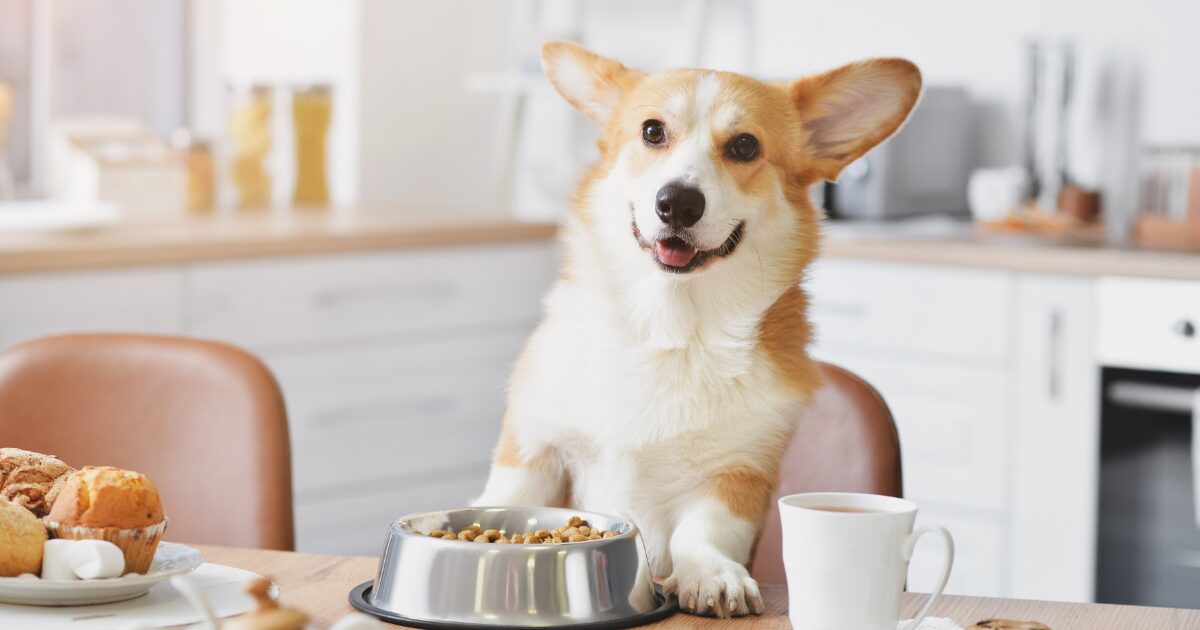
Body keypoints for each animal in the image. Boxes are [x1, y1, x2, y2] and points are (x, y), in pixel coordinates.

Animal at [475, 41, 916, 614]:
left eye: (746, 146)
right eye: (652, 132)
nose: (678, 202)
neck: (668, 328)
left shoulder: (739, 474)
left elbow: (704, 530)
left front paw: (711, 574)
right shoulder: (534, 448)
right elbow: (506, 499)